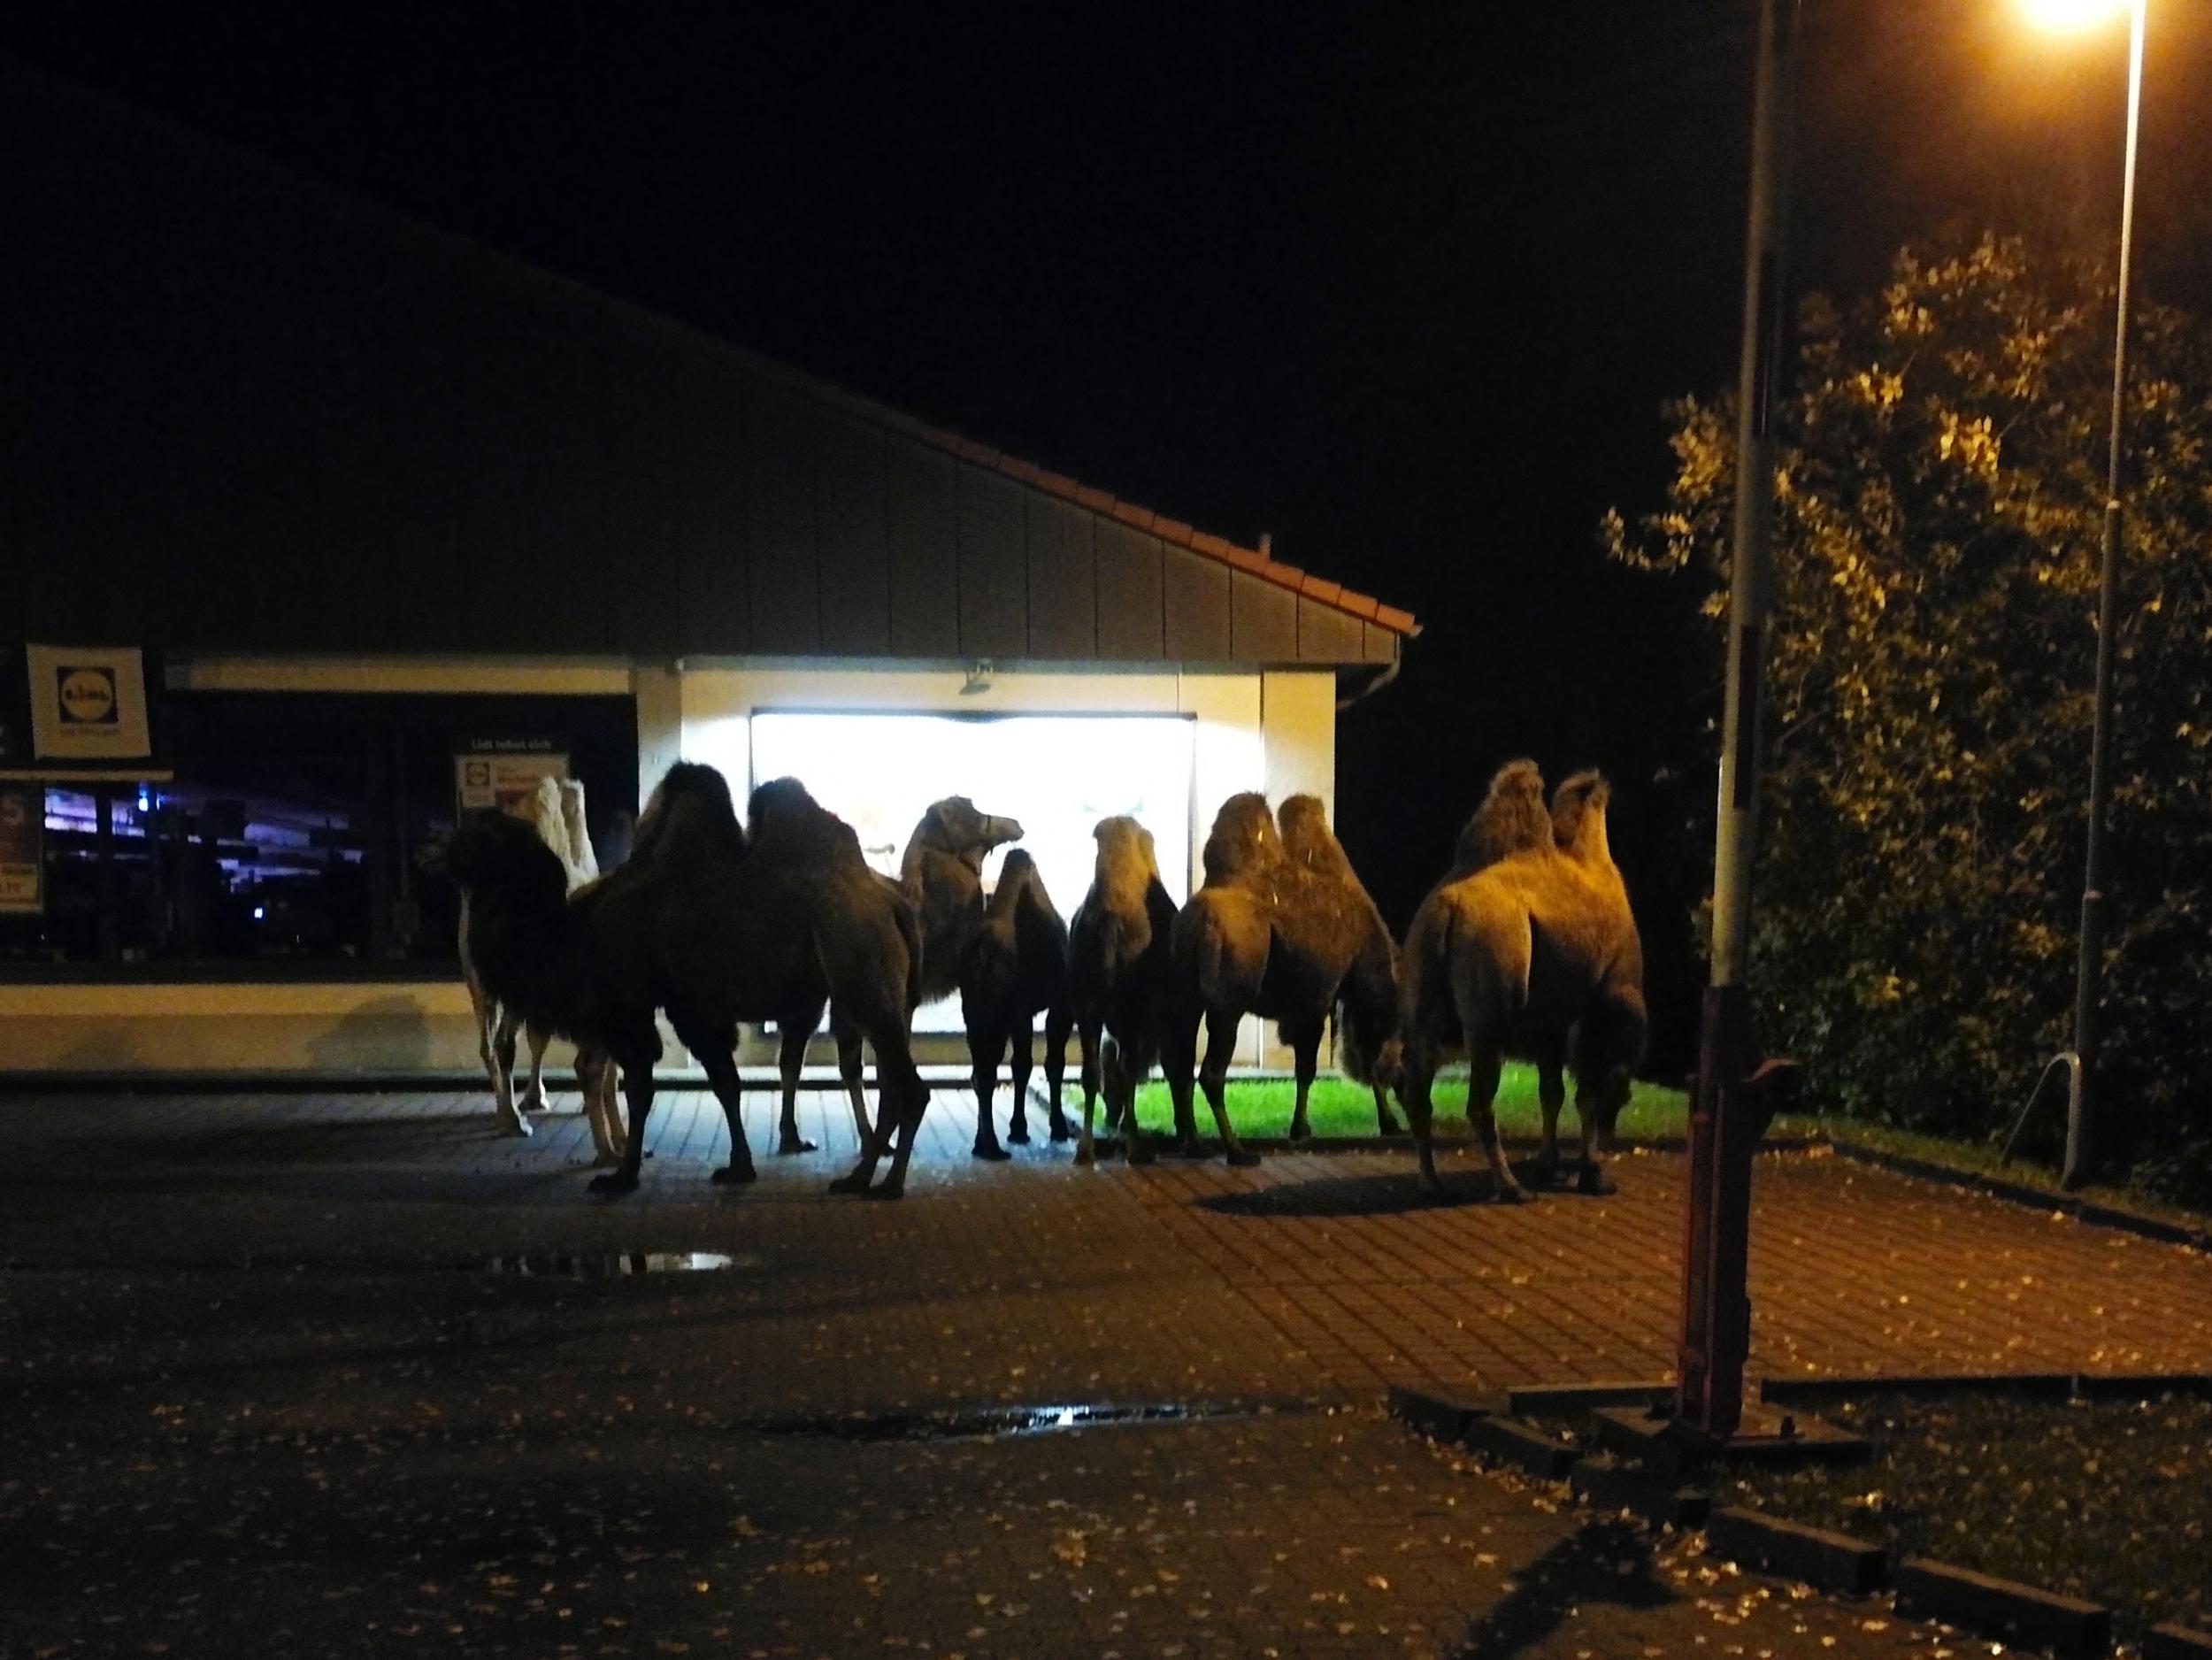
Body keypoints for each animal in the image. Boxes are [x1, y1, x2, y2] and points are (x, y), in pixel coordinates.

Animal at [444, 761, 929, 1203]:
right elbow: (725, 1086)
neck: (574, 935)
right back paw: (860, 1176)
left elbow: (646, 1090)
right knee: (892, 1084)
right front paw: (738, 1166)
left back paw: (886, 1183)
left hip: (861, 973)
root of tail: (893, 905)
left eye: (485, 839)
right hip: (885, 998)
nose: (442, 849)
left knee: (911, 1089)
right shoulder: (691, 1011)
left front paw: (624, 1175)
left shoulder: (653, 1011)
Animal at [964, 849, 1075, 1159]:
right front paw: (1048, 1128)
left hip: (976, 1013)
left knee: (981, 1069)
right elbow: (1045, 1063)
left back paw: (982, 1143)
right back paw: (991, 1145)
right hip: (1003, 1012)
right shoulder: (1054, 1004)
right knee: (994, 1068)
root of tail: (984, 954)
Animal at [1062, 818, 1186, 1168]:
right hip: (1131, 1006)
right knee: (1127, 1066)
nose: (1110, 1115)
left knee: (1090, 1070)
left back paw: (1085, 1150)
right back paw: (1135, 1148)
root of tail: (1109, 922)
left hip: (1085, 1002)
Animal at [1159, 796, 1398, 1168]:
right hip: (1228, 1003)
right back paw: (1237, 1151)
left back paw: (1194, 1143)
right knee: (1210, 1073)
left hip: (1185, 994)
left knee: (1178, 1063)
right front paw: (1304, 1129)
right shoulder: (1321, 998)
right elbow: (1312, 1067)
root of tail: (1201, 923)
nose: (1402, 1077)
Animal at [1389, 761, 1655, 1203]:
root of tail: (1446, 909)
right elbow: (1589, 1089)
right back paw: (1511, 1187)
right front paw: (1594, 1176)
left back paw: (1433, 1184)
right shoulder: (1602, 1005)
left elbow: (1552, 1092)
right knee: (1479, 1103)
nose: (1615, 1133)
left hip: (1421, 996)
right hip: (1489, 1004)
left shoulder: (1550, 1022)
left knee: (1418, 1094)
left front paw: (1551, 1166)